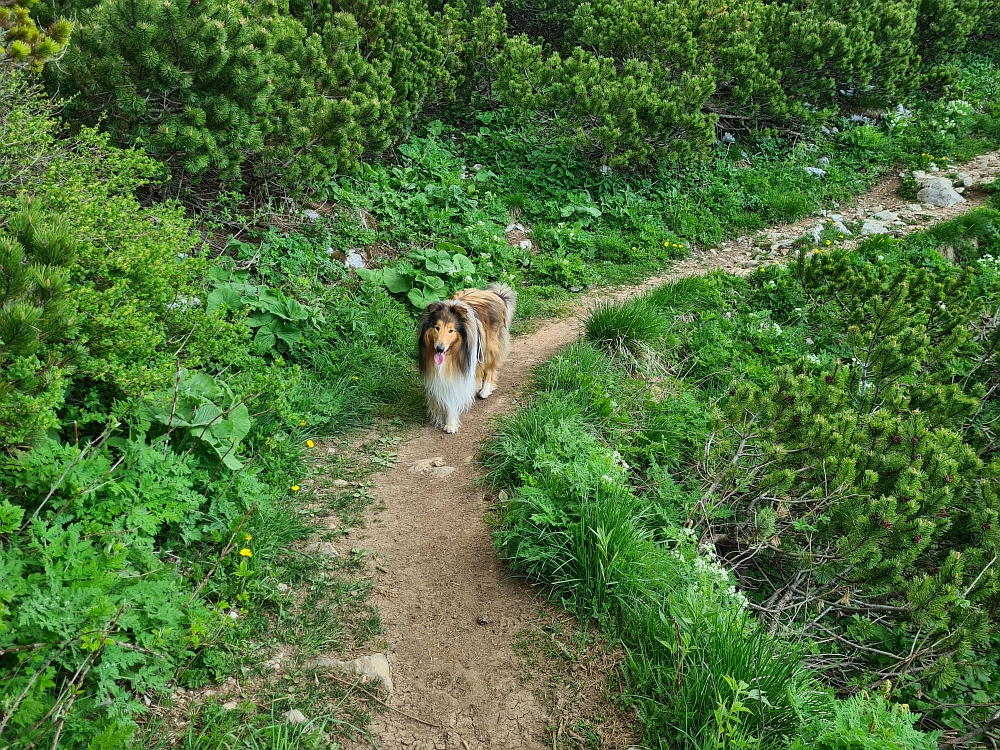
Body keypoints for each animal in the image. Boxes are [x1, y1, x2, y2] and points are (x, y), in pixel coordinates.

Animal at [418, 284, 520, 434]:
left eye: (451, 330)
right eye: (437, 328)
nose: (439, 349)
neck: (451, 355)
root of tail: (496, 294)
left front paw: (451, 423)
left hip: (489, 347)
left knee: (490, 368)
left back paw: (485, 390)